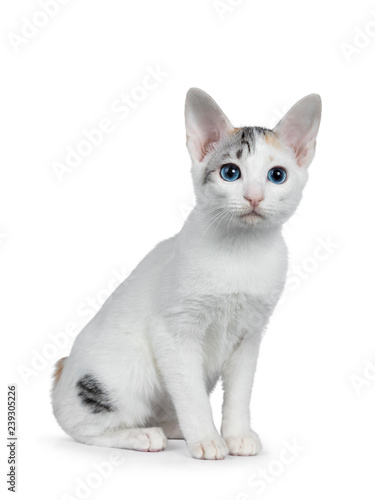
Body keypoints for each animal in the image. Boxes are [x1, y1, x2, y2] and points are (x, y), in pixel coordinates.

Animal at [52, 88, 324, 458]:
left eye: (277, 175)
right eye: (230, 172)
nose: (254, 197)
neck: (241, 251)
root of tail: (62, 374)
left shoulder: (250, 335)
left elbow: (240, 392)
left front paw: (236, 434)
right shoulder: (173, 333)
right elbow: (191, 393)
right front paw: (207, 439)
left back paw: (174, 427)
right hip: (123, 376)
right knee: (83, 427)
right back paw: (143, 435)